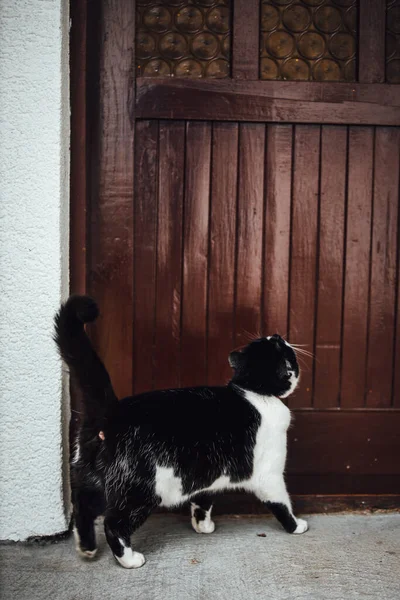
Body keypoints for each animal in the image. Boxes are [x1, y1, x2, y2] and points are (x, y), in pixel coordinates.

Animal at [54, 298, 308, 568]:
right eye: (280, 347)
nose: (278, 334)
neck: (255, 392)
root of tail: (111, 411)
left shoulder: (209, 477)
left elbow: (202, 502)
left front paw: (203, 526)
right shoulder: (269, 475)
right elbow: (281, 503)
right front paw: (296, 526)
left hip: (89, 478)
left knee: (83, 508)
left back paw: (87, 548)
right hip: (140, 491)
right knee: (114, 523)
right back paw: (129, 559)